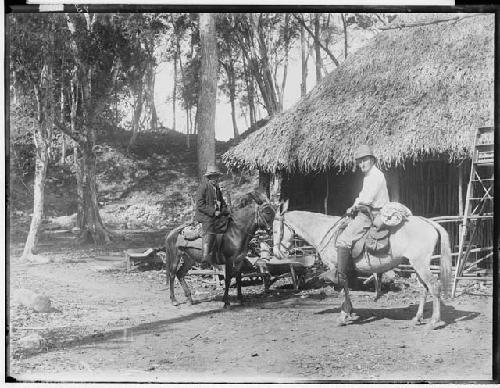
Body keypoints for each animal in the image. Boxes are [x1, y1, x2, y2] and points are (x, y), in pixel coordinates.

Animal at [274, 200, 454, 330]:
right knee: (424, 289)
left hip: (420, 264)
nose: (277, 253)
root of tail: (428, 222)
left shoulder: (338, 268)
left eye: (275, 230)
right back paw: (417, 318)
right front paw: (349, 311)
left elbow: (344, 287)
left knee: (434, 286)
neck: (324, 230)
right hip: (416, 265)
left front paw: (344, 315)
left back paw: (434, 322)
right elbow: (346, 288)